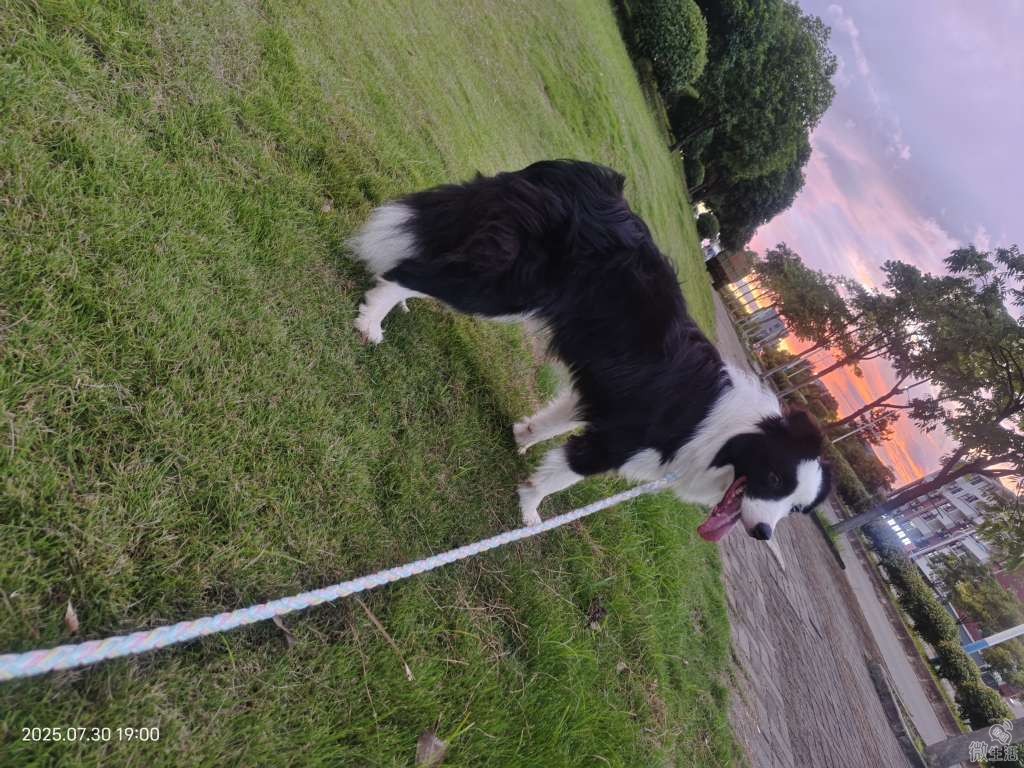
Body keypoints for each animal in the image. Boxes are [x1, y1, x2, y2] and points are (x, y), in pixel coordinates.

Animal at [348, 160, 831, 541]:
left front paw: (521, 438)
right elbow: (563, 476)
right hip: (510, 288)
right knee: (413, 272)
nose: (763, 532)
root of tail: (583, 177)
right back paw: (371, 322)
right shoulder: (616, 441)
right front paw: (529, 510)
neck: (730, 432)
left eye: (795, 509)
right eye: (774, 479)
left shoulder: (604, 400)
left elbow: (555, 421)